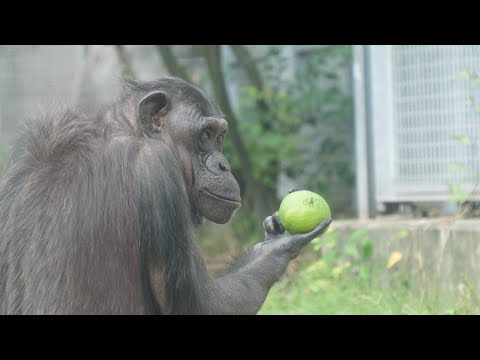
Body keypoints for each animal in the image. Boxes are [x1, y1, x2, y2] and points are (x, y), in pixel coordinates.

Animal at [0, 77, 330, 314]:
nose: (224, 164)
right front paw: (276, 248)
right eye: (206, 135)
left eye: (221, 137)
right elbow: (204, 306)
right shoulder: (157, 170)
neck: (123, 132)